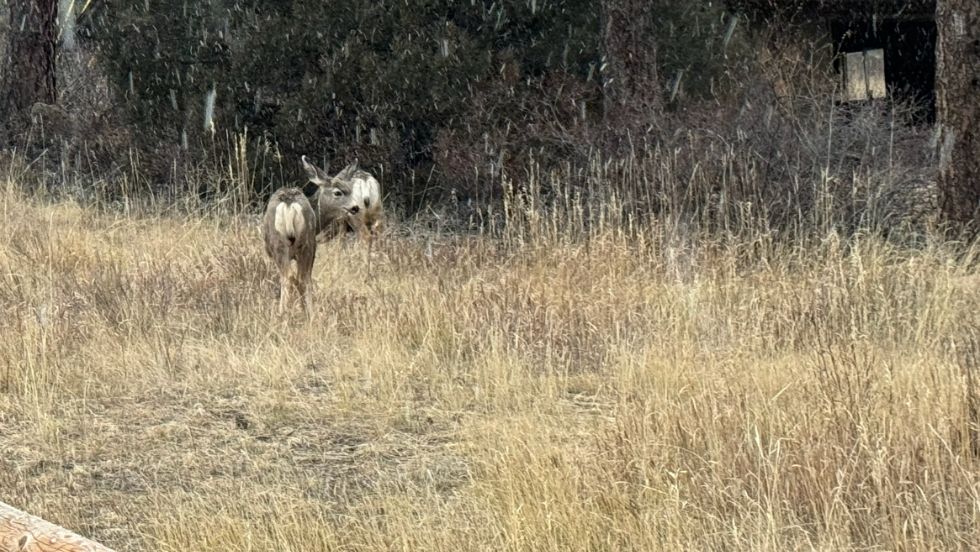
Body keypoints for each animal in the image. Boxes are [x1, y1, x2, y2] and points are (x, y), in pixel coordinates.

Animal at [263, 187, 318, 315]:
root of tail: (289, 204)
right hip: (308, 245)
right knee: (304, 278)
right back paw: (310, 313)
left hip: (279, 246)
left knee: (287, 278)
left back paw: (282, 312)